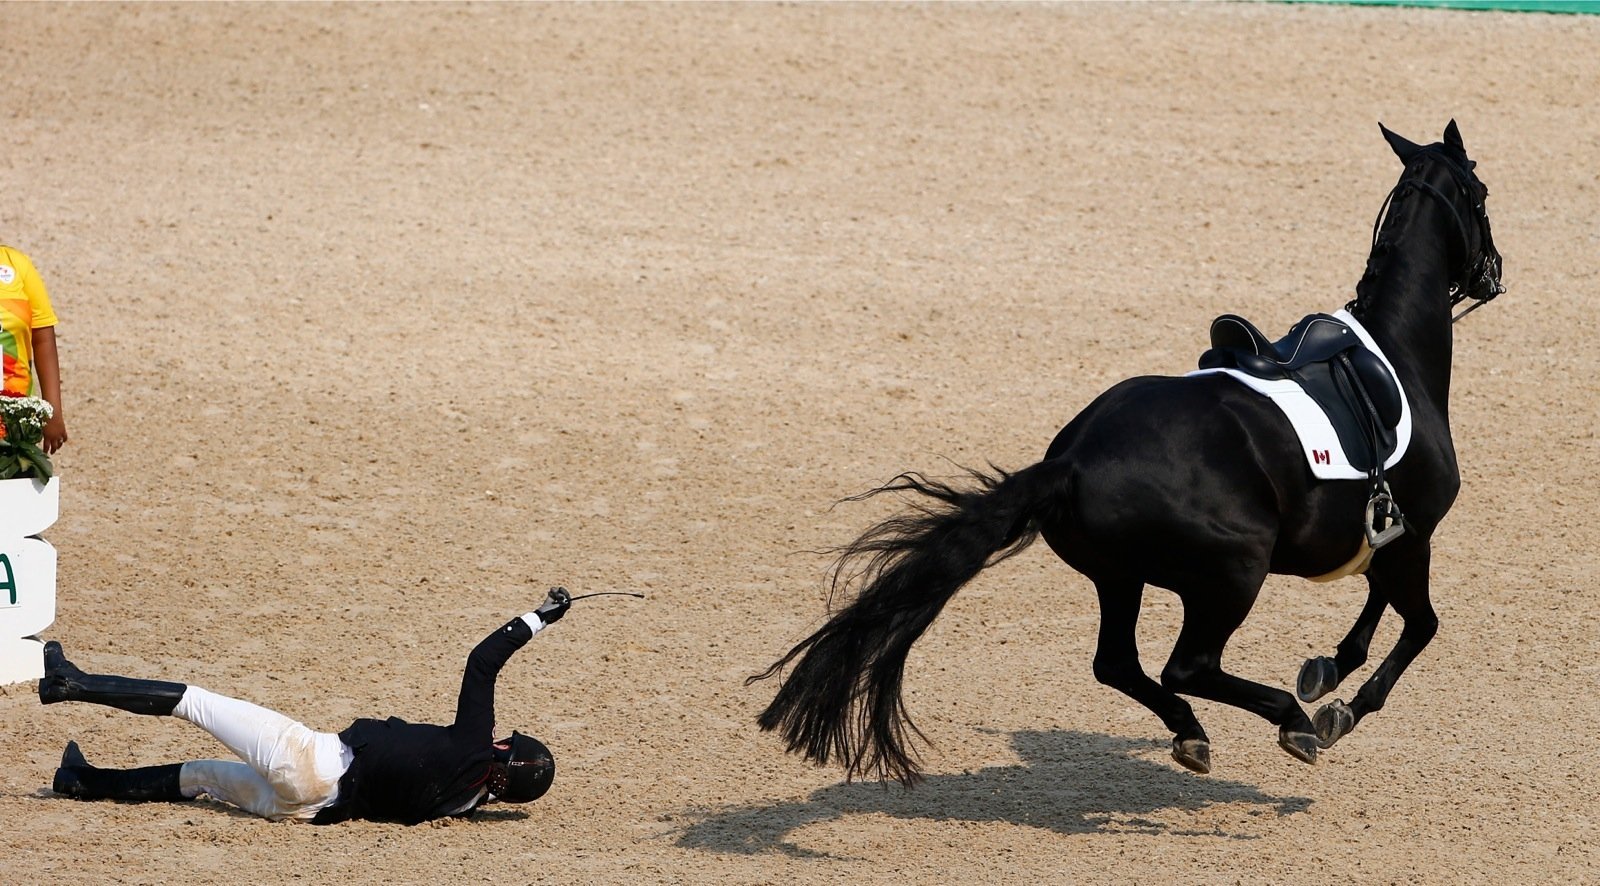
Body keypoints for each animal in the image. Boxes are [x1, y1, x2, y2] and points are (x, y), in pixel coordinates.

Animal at [748, 120, 1497, 777]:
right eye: (1482, 193)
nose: (1492, 275)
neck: (1393, 352)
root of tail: (1073, 460)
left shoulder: (1390, 538)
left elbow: (1376, 608)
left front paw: (1327, 671)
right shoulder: (1415, 535)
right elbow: (1420, 625)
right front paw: (1339, 706)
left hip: (1120, 576)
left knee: (1118, 665)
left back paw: (1195, 733)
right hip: (1232, 572)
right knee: (1187, 667)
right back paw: (1289, 724)